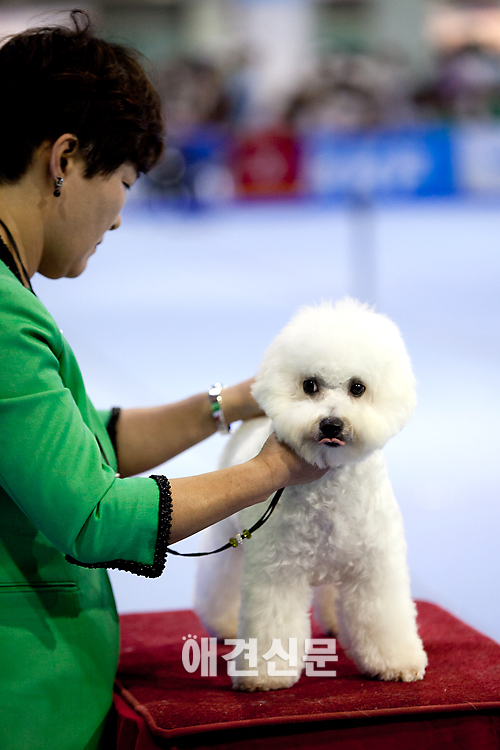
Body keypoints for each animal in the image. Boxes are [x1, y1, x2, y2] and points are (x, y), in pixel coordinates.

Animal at [194, 298, 426, 692]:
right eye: (310, 385)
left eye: (358, 388)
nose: (331, 424)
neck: (329, 488)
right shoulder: (277, 572)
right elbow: (272, 625)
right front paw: (265, 675)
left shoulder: (374, 566)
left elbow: (384, 617)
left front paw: (397, 662)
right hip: (231, 540)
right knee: (220, 583)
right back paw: (223, 623)